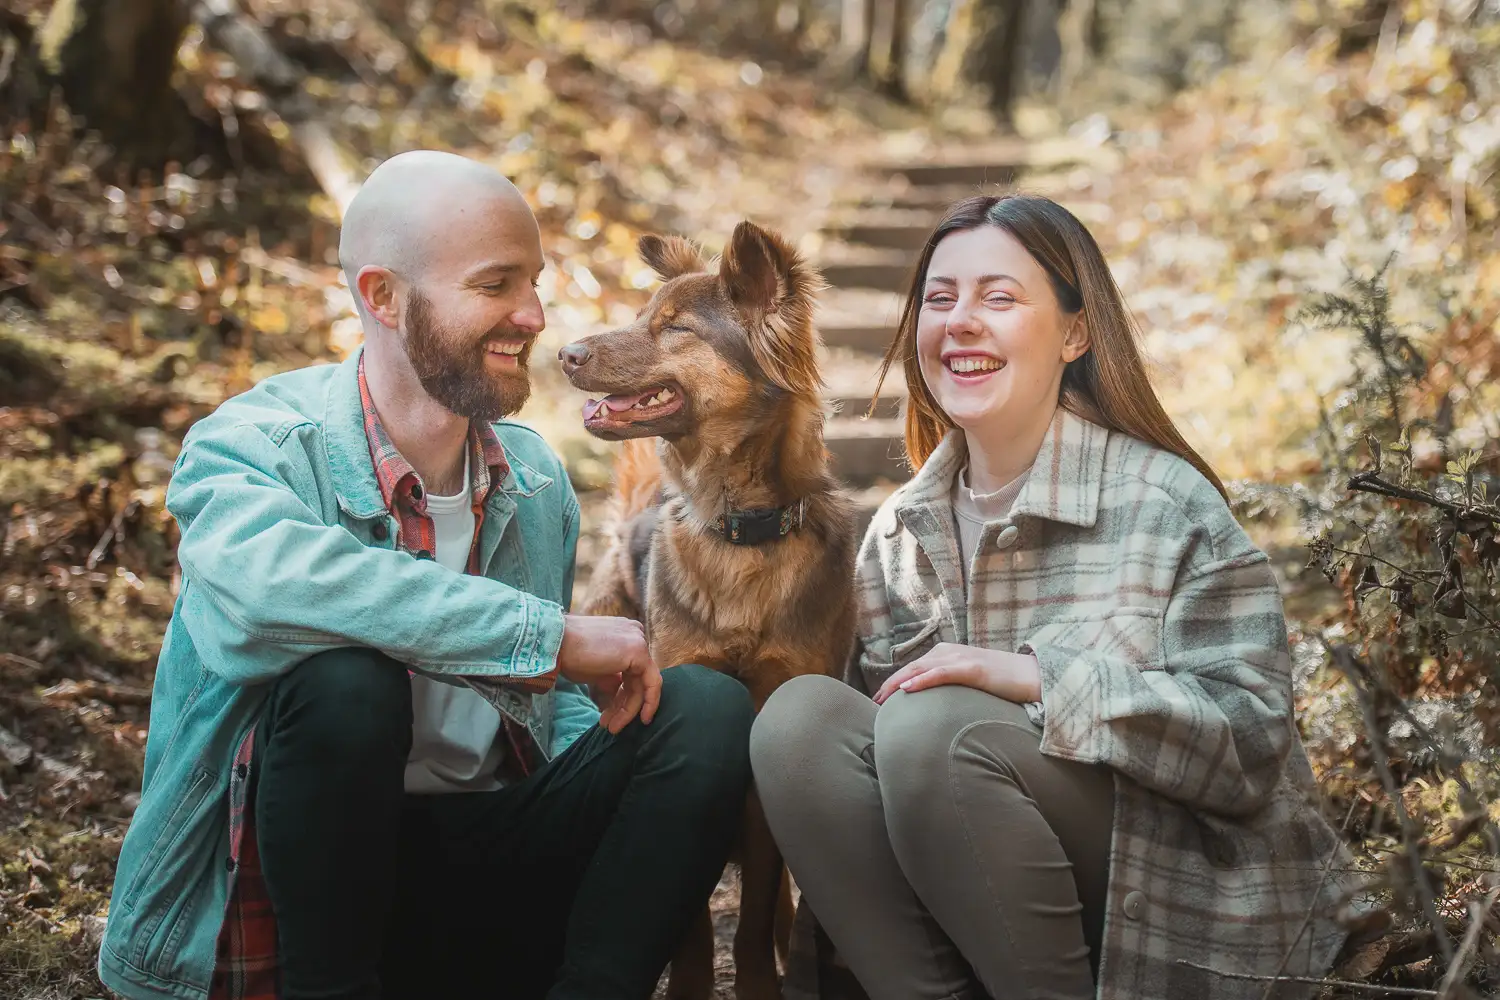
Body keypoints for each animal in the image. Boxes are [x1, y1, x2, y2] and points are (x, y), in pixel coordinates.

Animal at [558, 223, 858, 995]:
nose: (566, 354)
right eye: (641, 316)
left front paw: (760, 981)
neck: (740, 531)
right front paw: (693, 983)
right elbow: (691, 925)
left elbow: (754, 917)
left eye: (673, 328)